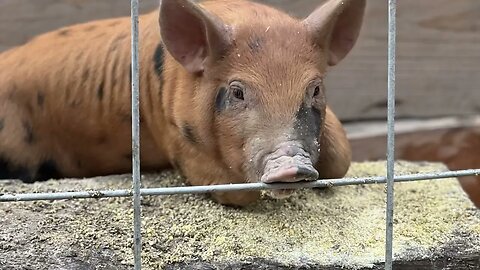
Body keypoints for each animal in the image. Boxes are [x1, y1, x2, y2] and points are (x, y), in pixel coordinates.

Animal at [0, 0, 366, 206]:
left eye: (315, 88)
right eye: (237, 92)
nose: (292, 165)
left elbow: (342, 156)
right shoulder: (174, 136)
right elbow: (237, 192)